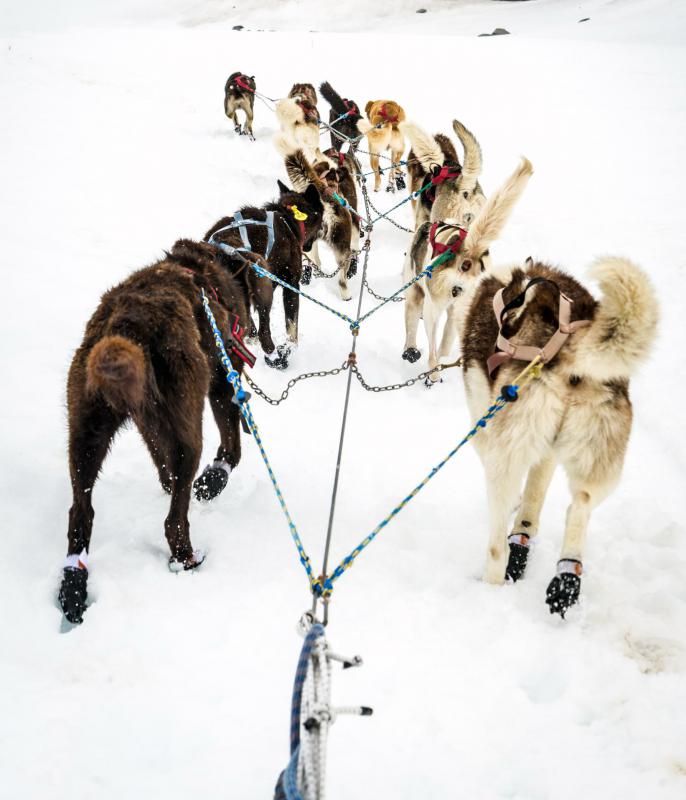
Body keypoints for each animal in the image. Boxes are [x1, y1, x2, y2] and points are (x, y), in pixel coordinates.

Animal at [59, 238, 255, 624]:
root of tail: (128, 325)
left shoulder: (148, 422)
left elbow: (163, 463)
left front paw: (174, 483)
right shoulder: (223, 384)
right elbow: (231, 448)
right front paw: (213, 481)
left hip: (86, 432)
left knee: (81, 514)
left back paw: (73, 588)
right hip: (189, 431)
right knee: (174, 522)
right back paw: (188, 561)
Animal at [462, 256, 660, 612]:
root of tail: (570, 347)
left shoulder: (482, 417)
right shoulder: (548, 452)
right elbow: (532, 504)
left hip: (505, 458)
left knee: (497, 546)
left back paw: (491, 587)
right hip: (597, 460)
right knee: (580, 505)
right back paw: (566, 579)